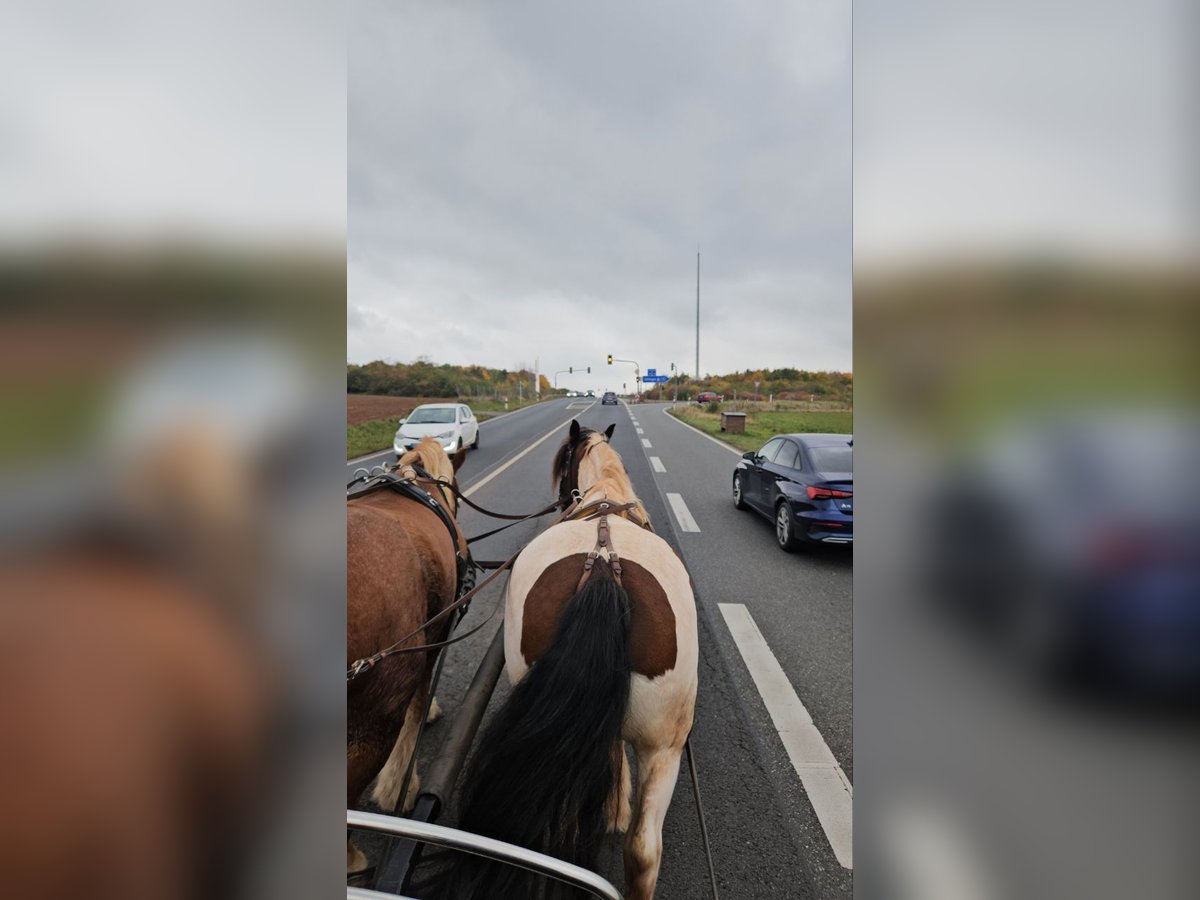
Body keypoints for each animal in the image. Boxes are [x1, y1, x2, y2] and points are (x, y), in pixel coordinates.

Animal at [446, 420, 700, 900]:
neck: (603, 497)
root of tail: (601, 564)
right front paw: (616, 806)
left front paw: (614, 806)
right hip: (664, 747)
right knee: (642, 850)